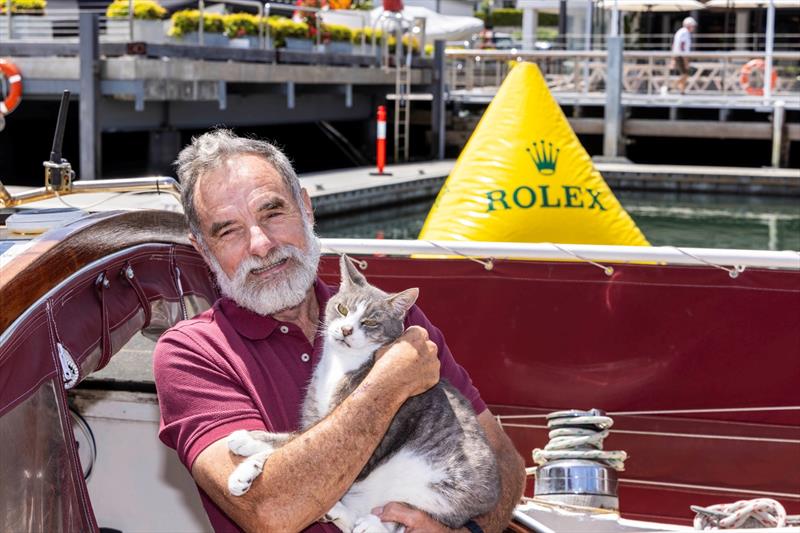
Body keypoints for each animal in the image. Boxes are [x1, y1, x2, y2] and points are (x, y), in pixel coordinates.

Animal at [227, 256, 500, 528]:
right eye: (342, 309)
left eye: (370, 322)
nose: (346, 330)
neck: (341, 363)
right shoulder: (318, 415)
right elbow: (298, 438)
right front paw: (248, 455)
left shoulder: (372, 440)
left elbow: (294, 439)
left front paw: (247, 447)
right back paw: (338, 512)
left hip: (446, 492)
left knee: (401, 518)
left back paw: (369, 524)